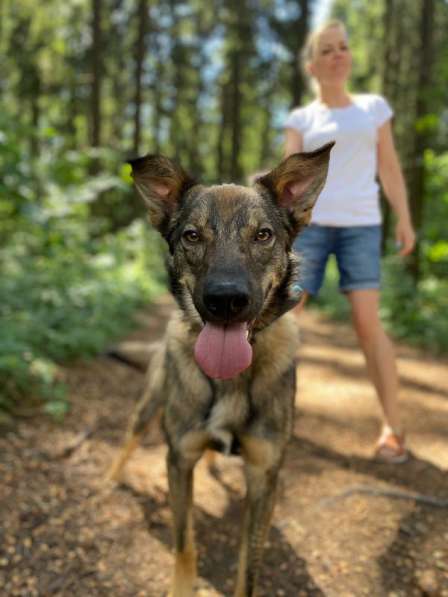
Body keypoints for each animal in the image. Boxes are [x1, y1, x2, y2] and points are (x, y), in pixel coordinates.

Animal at [107, 142, 332, 592]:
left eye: (263, 235)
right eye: (192, 236)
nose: (226, 300)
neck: (231, 379)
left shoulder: (264, 477)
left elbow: (249, 567)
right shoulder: (178, 460)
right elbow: (184, 545)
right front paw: (181, 588)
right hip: (148, 406)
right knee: (127, 441)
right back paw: (107, 482)